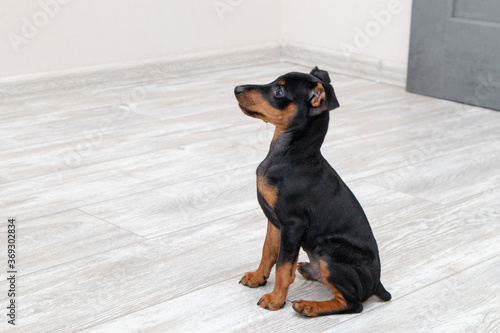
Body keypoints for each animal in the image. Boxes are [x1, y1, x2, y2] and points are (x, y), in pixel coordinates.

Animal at [234, 66, 390, 316]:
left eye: (279, 92)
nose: (237, 88)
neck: (290, 156)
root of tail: (377, 284)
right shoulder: (275, 220)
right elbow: (268, 251)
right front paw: (258, 277)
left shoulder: (293, 224)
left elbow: (283, 266)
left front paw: (275, 300)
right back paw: (308, 271)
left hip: (330, 254)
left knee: (353, 303)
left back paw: (310, 306)